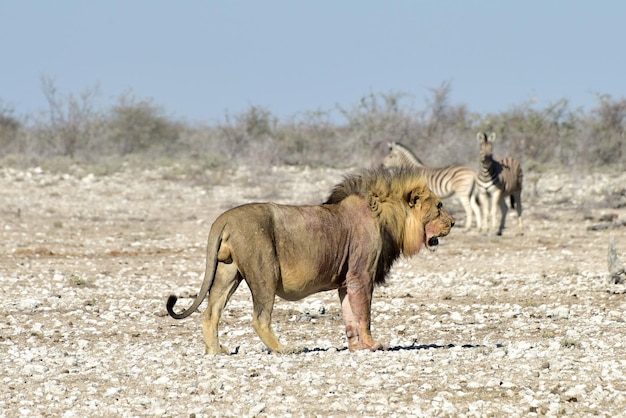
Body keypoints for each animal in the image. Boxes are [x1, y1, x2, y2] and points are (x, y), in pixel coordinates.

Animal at [166, 167, 454, 352]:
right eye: (439, 206)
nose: (453, 222)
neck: (387, 217)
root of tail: (224, 217)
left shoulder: (346, 281)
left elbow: (350, 315)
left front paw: (356, 347)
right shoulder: (361, 275)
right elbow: (364, 315)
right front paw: (373, 345)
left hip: (228, 272)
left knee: (210, 313)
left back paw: (216, 351)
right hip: (264, 271)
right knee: (259, 318)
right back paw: (285, 349)